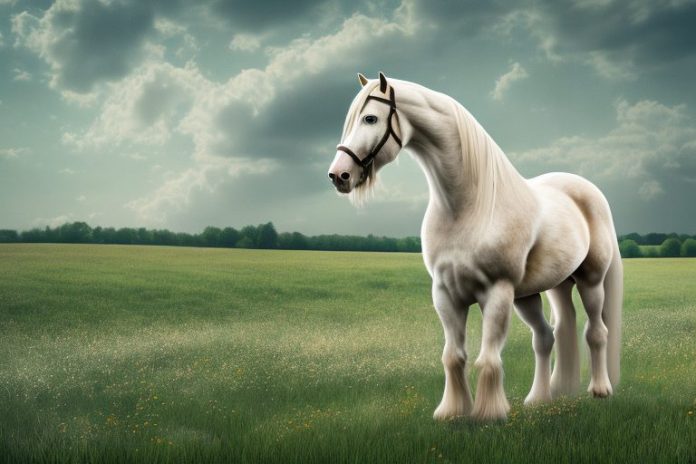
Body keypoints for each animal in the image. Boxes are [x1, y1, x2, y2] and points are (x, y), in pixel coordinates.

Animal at [327, 72, 623, 421]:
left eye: (370, 118)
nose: (339, 175)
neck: (469, 207)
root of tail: (587, 189)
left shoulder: (496, 292)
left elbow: (488, 357)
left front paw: (489, 414)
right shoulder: (445, 294)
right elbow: (453, 356)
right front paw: (452, 412)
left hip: (590, 281)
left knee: (596, 332)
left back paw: (600, 390)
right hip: (545, 290)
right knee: (549, 336)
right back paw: (540, 398)